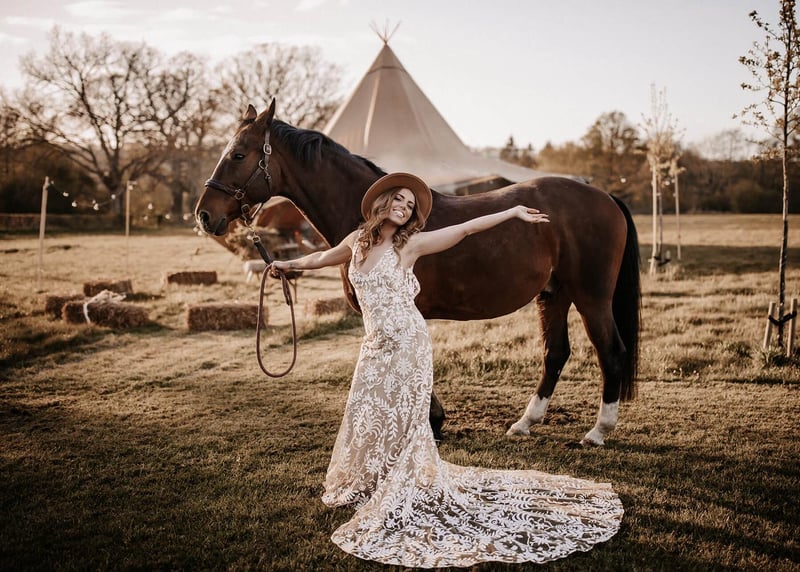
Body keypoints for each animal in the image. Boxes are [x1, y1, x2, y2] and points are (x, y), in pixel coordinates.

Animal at [195, 100, 641, 446]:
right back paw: (524, 423)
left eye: (239, 154)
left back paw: (598, 432)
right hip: (554, 294)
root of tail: (605, 196)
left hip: (591, 297)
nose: (204, 215)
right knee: (556, 354)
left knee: (611, 351)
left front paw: (430, 422)